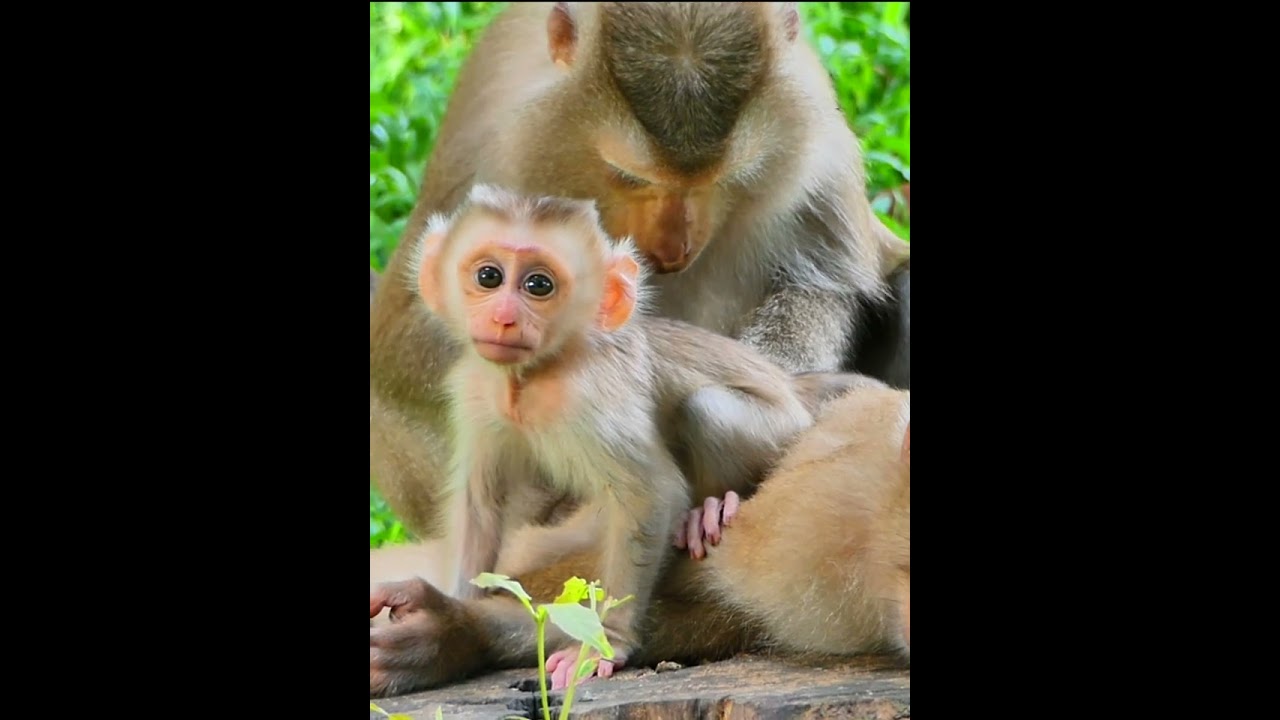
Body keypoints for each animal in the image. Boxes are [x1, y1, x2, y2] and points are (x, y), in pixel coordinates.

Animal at [396, 183, 819, 686]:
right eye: (488, 276)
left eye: (539, 285)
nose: (503, 318)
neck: (536, 375)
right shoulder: (478, 389)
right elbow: (481, 503)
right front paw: (454, 609)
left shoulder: (591, 394)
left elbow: (651, 494)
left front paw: (606, 641)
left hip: (784, 431)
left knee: (706, 409)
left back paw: (714, 507)